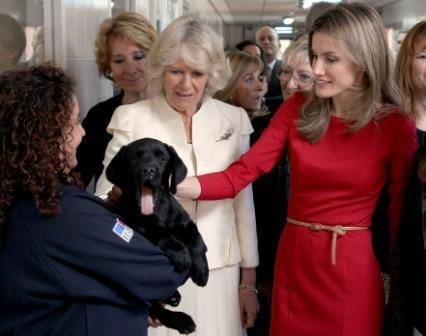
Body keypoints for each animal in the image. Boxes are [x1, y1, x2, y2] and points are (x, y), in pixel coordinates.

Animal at [105, 137, 208, 334]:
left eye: (161, 158)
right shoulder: (140, 227)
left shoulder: (186, 223)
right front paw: (182, 255)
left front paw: (201, 271)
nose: (148, 171)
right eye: (134, 158)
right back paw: (181, 320)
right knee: (154, 308)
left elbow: (196, 240)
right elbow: (162, 233)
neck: (159, 211)